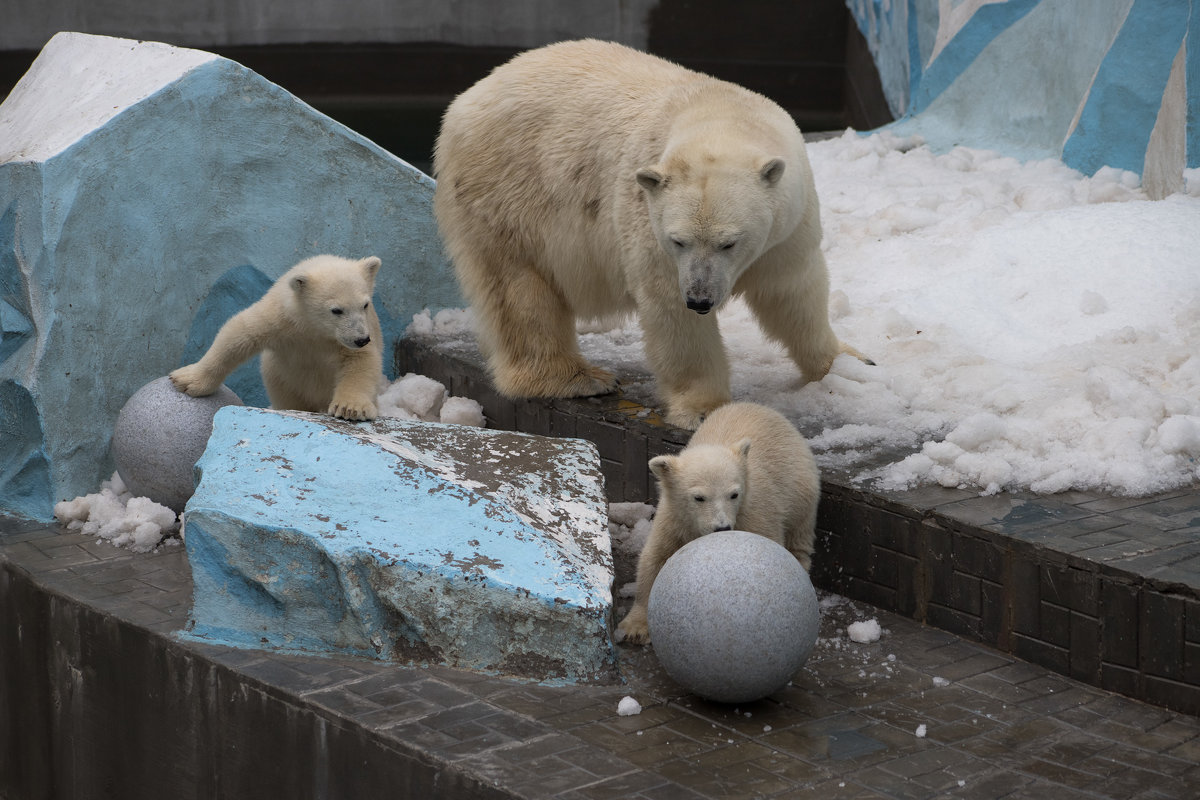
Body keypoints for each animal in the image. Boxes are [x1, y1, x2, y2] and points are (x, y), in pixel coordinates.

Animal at [432, 38, 864, 424]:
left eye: (729, 242)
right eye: (679, 240)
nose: (701, 299)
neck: (718, 113)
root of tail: (468, 96)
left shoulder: (788, 223)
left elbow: (792, 292)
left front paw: (848, 365)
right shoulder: (648, 223)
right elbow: (672, 311)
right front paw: (704, 408)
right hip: (506, 191)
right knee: (519, 286)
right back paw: (577, 378)